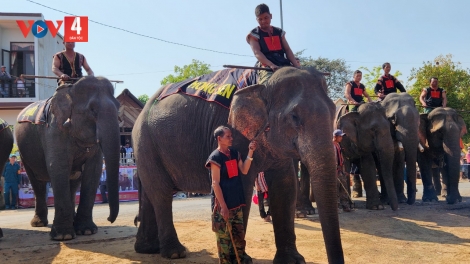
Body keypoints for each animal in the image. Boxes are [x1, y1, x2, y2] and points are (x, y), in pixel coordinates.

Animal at [14, 75, 121, 240]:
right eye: (92, 110)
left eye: (118, 107)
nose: (110, 219)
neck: (71, 90)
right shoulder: (53, 130)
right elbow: (59, 166)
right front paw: (63, 236)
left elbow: (93, 170)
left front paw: (87, 231)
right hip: (24, 153)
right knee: (37, 183)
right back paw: (39, 223)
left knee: (73, 182)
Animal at [132, 67, 346, 264]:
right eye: (294, 117)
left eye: (333, 112)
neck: (264, 82)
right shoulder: (234, 131)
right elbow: (241, 185)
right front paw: (242, 259)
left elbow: (285, 186)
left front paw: (293, 261)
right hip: (145, 142)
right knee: (161, 193)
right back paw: (175, 253)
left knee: (151, 192)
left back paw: (148, 249)